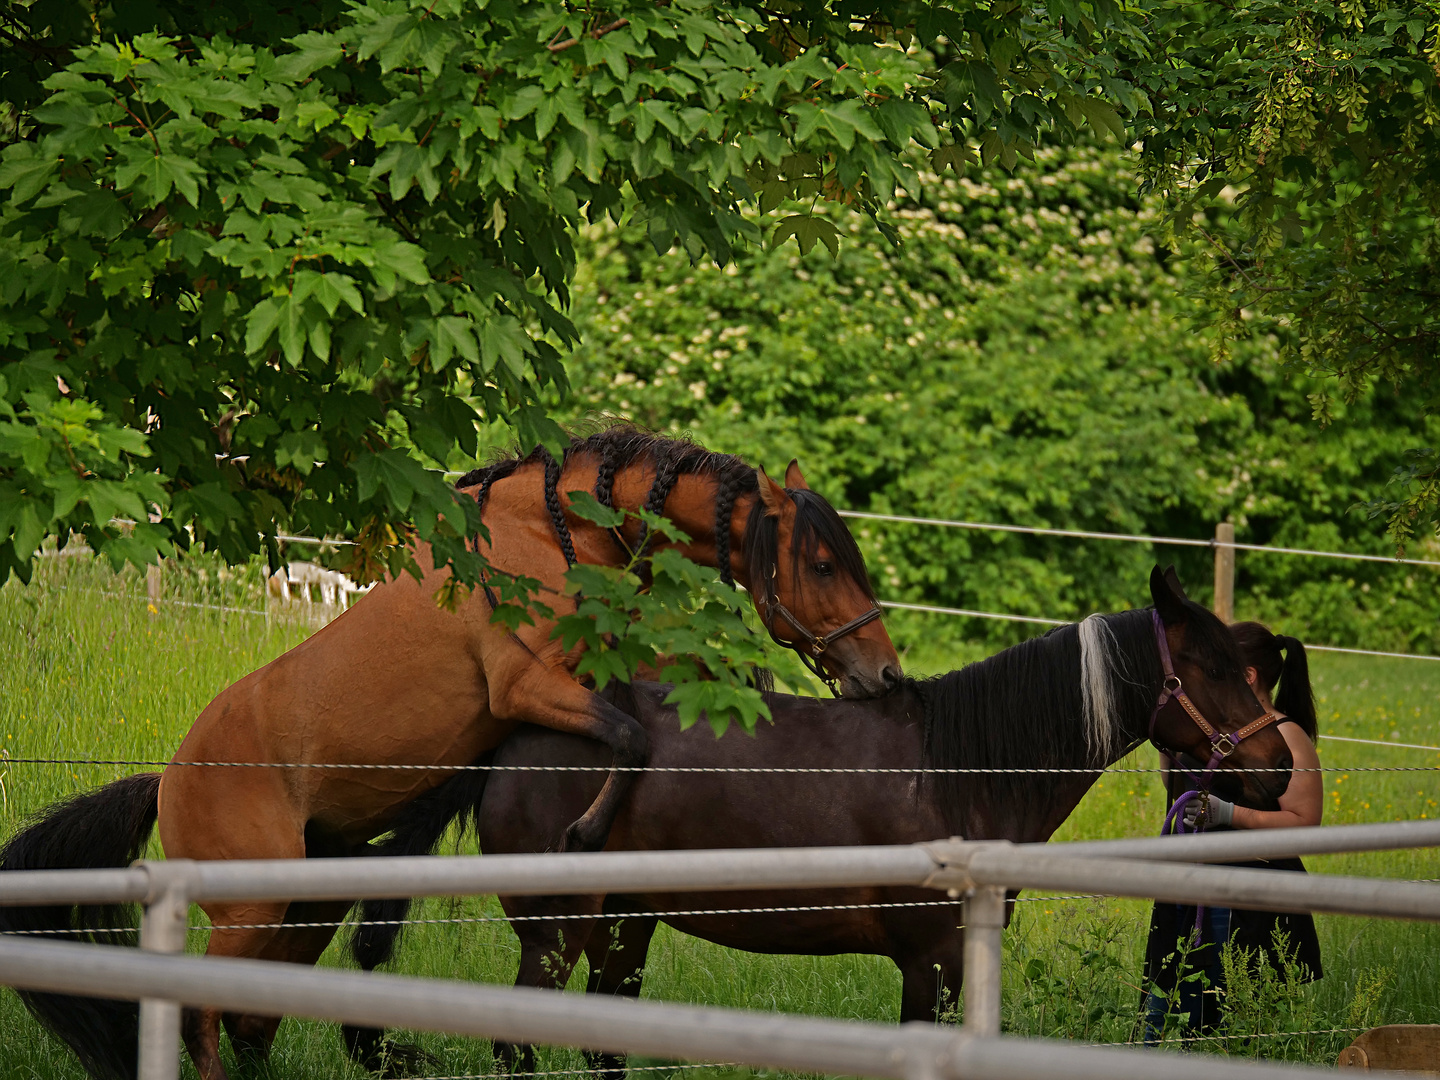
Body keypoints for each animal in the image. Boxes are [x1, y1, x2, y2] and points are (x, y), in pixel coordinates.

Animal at [0, 426, 898, 1080]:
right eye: (823, 563)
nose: (882, 674)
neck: (556, 533)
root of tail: (169, 782)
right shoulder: (526, 688)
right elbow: (631, 737)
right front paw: (582, 835)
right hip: (250, 911)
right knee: (203, 1015)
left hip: (301, 907)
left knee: (250, 1019)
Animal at [339, 567, 1296, 1077]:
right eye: (1214, 668)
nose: (1278, 769)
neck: (959, 770)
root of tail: (510, 739)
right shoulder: (931, 963)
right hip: (558, 932)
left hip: (624, 927)